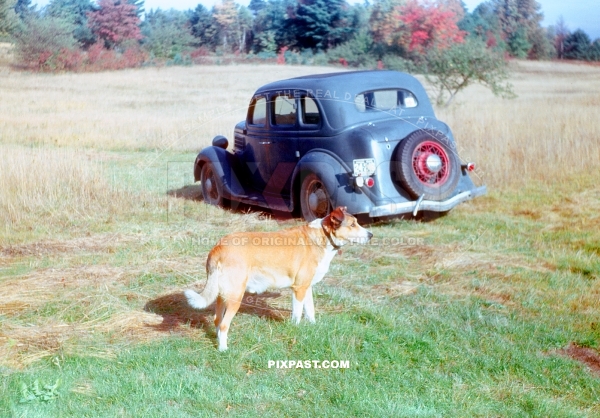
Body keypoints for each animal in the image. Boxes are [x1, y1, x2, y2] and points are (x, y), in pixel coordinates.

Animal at [184, 206, 370, 350]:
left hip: (223, 294)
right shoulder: (298, 289)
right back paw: (224, 349)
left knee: (217, 321)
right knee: (223, 324)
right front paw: (296, 330)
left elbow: (310, 311)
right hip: (236, 296)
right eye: (352, 224)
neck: (322, 236)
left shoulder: (306, 287)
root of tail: (218, 247)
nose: (371, 235)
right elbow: (297, 314)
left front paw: (314, 327)